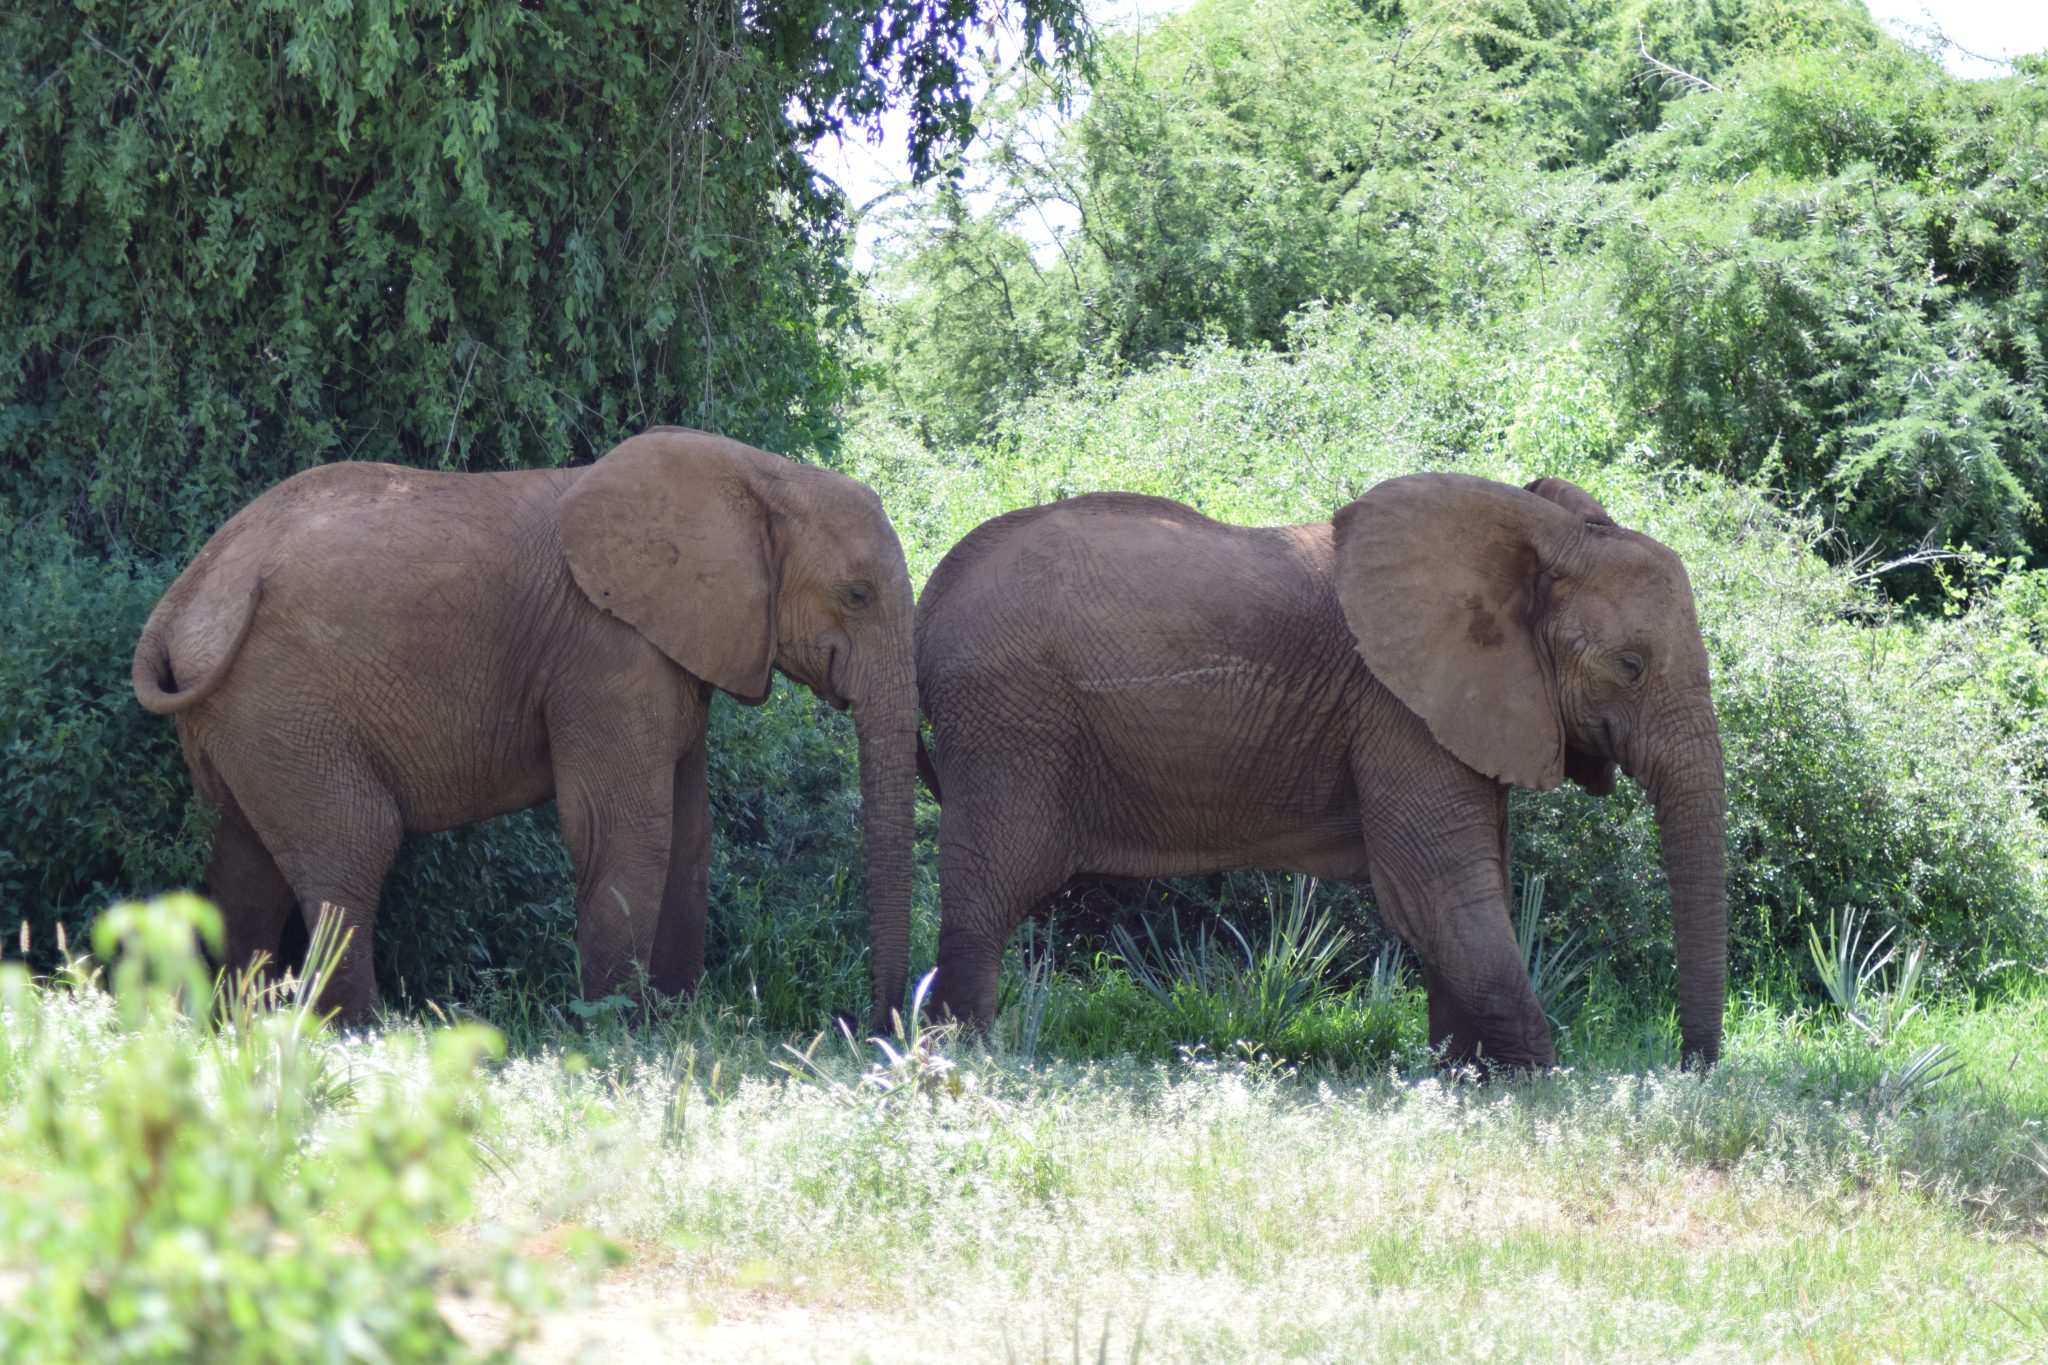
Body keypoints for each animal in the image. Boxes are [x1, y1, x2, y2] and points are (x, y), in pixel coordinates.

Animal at [132, 427, 917, 1023]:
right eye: (856, 594)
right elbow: (621, 827)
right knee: (352, 843)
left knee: (245, 864)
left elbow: (691, 831)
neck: (763, 476)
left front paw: (677, 1020)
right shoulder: (607, 650)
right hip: (284, 699)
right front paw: (619, 1030)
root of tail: (183, 597)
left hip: (243, 715)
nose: (872, 1027)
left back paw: (229, 1025)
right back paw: (359, 1032)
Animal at [917, 474, 1728, 1072]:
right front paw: (1529, 1084)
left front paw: (1462, 1077)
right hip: (1006, 723)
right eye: (1630, 666)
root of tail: (930, 602)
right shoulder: (1398, 709)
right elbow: (1441, 890)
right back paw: (965, 1062)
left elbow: (1473, 886)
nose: (1689, 1067)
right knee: (989, 892)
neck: (1526, 539)